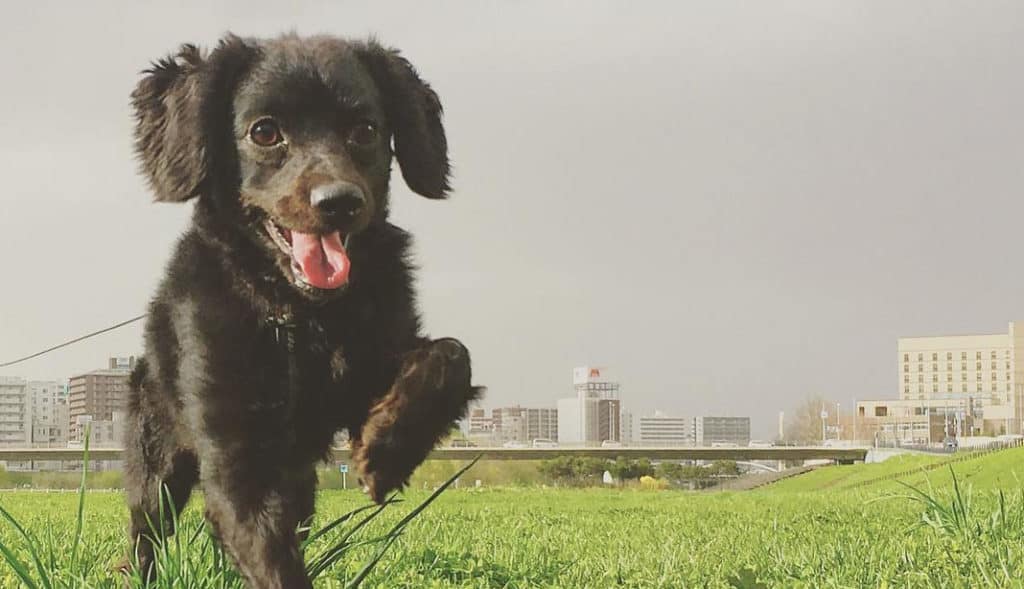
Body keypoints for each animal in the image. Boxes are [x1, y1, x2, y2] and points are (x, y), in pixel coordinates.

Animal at [122, 34, 479, 585]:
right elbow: (268, 553)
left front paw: (386, 453)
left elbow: (453, 354)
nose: (340, 201)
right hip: (156, 457)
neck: (306, 315)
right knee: (146, 534)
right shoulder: (237, 448)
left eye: (365, 130)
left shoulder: (372, 363)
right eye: (265, 131)